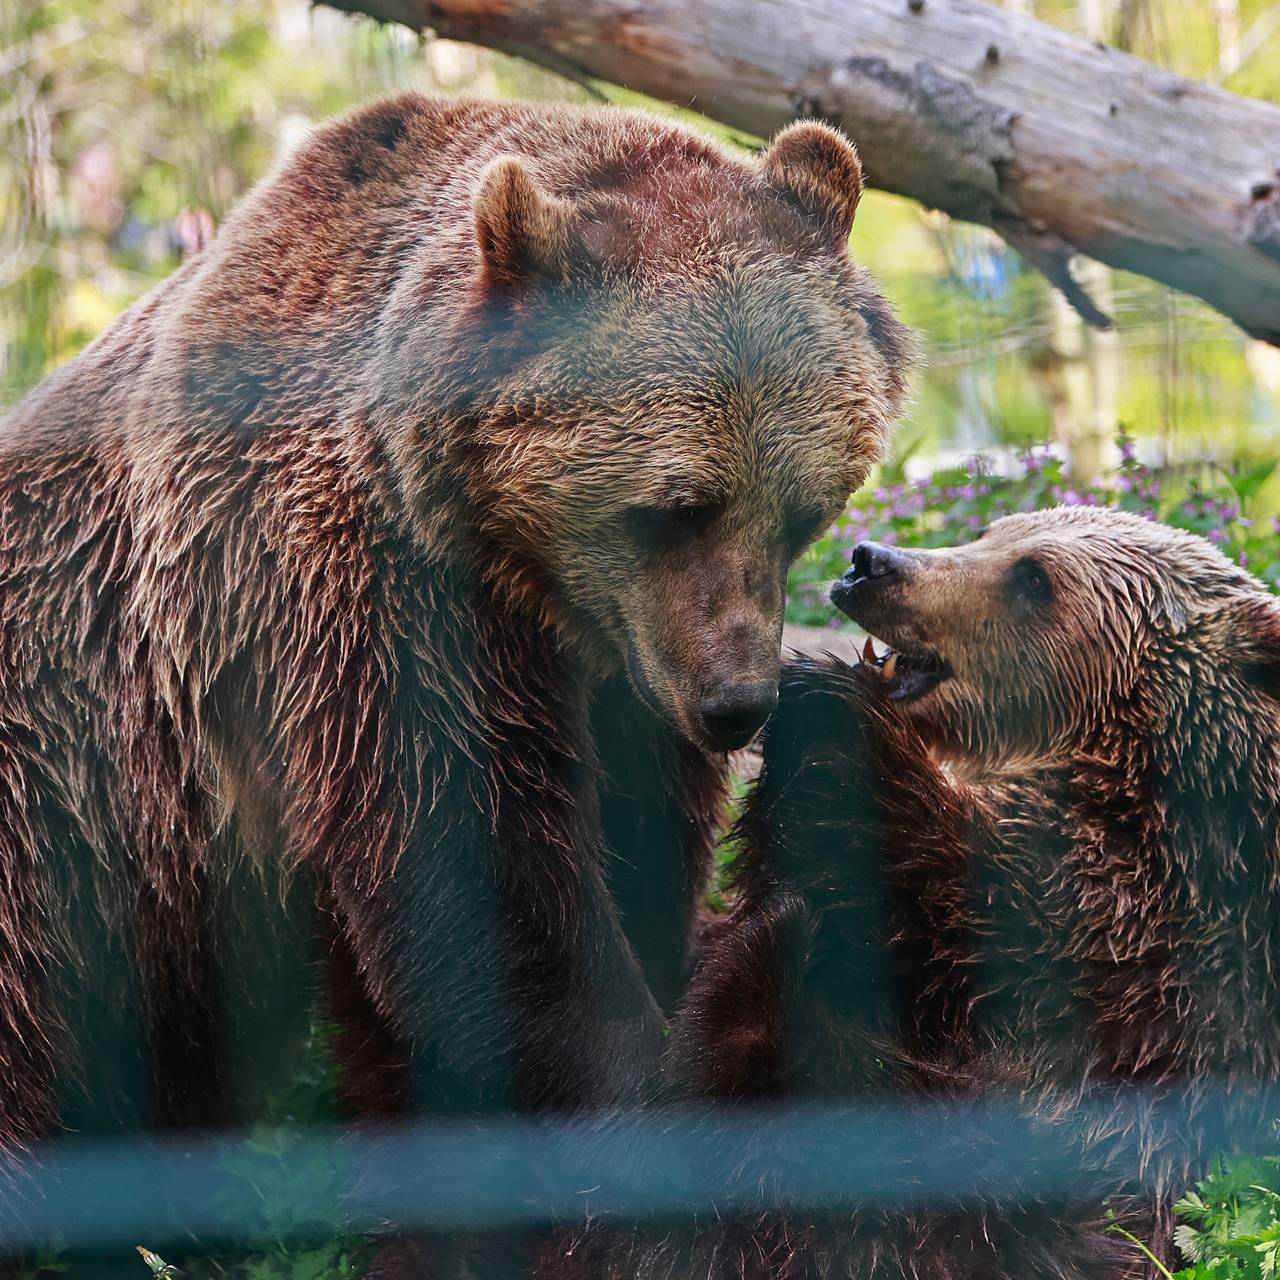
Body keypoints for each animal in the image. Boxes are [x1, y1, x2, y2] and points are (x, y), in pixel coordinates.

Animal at [0, 90, 911, 1249]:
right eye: (678, 506)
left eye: (803, 510)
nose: (734, 704)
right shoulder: (361, 599)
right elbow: (480, 872)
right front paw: (639, 1100)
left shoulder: (615, 679)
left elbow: (635, 843)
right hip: (53, 816)